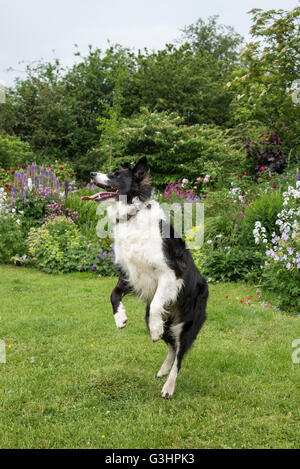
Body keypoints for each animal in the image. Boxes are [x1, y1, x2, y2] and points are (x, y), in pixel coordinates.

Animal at [85, 158, 209, 398]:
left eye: (116, 175)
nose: (92, 173)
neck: (131, 216)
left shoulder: (170, 273)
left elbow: (155, 305)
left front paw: (153, 328)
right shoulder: (131, 275)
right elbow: (113, 295)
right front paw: (120, 318)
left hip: (187, 324)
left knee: (179, 355)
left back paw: (169, 386)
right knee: (171, 347)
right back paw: (163, 368)